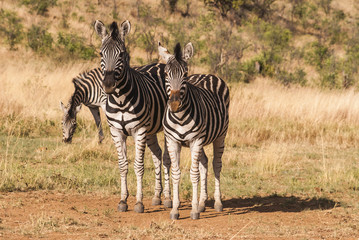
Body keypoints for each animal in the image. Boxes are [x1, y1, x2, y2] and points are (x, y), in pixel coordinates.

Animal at [94, 19, 173, 213]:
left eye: (121, 54)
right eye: (101, 53)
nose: (108, 85)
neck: (121, 100)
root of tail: (160, 63)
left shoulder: (140, 130)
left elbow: (138, 165)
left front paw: (138, 202)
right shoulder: (116, 131)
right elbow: (123, 165)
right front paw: (123, 200)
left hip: (164, 128)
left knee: (167, 159)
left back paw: (168, 198)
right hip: (151, 131)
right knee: (157, 155)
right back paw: (157, 196)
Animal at [158, 41, 231, 219]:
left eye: (185, 74)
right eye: (166, 74)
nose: (174, 104)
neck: (180, 117)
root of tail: (207, 74)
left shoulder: (195, 140)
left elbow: (194, 174)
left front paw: (193, 210)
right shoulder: (173, 141)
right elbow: (176, 173)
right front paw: (175, 210)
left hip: (220, 135)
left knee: (216, 164)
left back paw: (217, 203)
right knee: (204, 162)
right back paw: (202, 202)